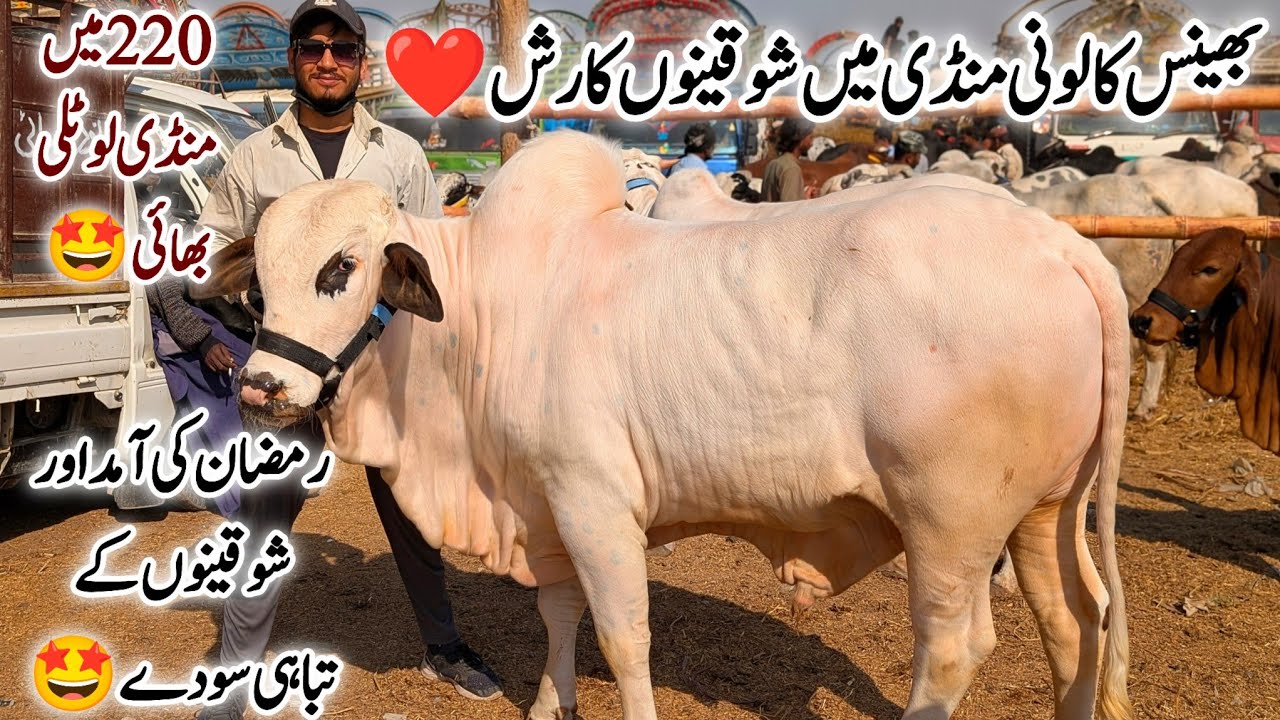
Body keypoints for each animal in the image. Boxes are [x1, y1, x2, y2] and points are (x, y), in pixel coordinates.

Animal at [196, 130, 1134, 720]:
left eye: (342, 268)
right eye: (259, 281)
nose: (263, 387)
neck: (478, 314)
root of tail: (1060, 243)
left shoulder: (596, 504)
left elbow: (622, 637)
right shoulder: (546, 506)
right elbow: (560, 615)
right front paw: (551, 703)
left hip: (950, 524)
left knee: (953, 648)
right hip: (1046, 513)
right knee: (1076, 623)